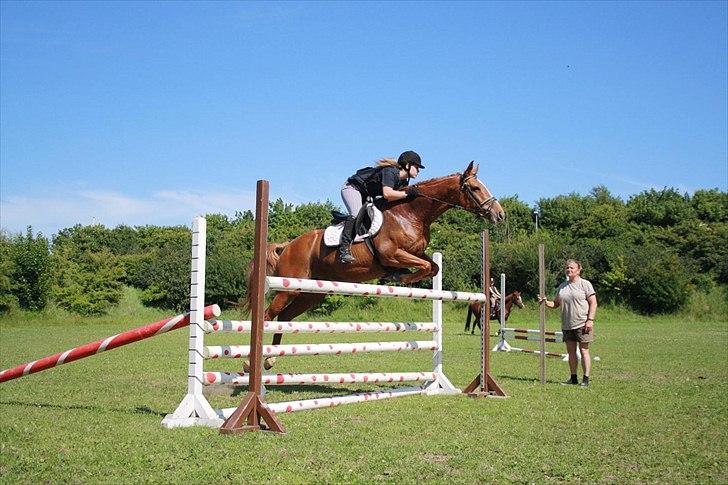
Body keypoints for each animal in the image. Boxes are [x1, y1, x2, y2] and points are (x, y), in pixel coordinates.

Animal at [242, 161, 504, 368]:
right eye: (475, 188)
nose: (500, 214)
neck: (410, 213)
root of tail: (289, 245)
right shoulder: (391, 254)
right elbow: (422, 267)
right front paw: (398, 278)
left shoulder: (417, 253)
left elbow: (432, 267)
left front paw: (399, 277)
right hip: (288, 287)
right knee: (267, 314)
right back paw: (249, 362)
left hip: (310, 293)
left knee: (285, 316)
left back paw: (270, 358)